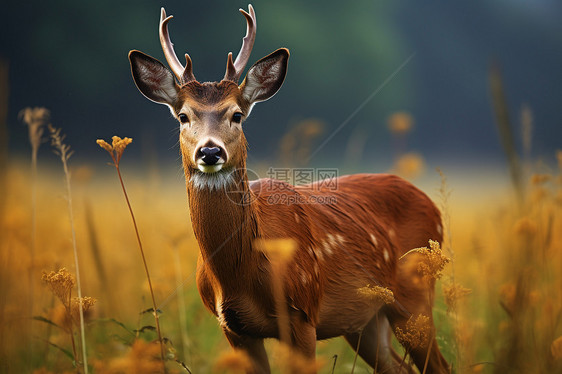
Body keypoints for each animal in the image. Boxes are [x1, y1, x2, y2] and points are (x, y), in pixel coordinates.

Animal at [127, 5, 446, 374]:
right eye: (182, 116)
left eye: (237, 115)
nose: (210, 151)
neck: (240, 275)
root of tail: (432, 205)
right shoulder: (234, 328)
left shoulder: (303, 312)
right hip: (365, 320)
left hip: (417, 296)